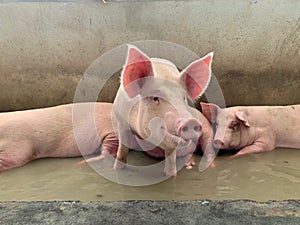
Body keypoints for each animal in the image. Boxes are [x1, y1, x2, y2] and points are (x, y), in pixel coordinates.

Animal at [112, 45, 213, 176]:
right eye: (155, 98)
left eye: (183, 98)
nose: (190, 121)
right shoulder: (121, 122)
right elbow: (122, 151)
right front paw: (117, 169)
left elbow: (171, 161)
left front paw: (171, 175)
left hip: (207, 130)